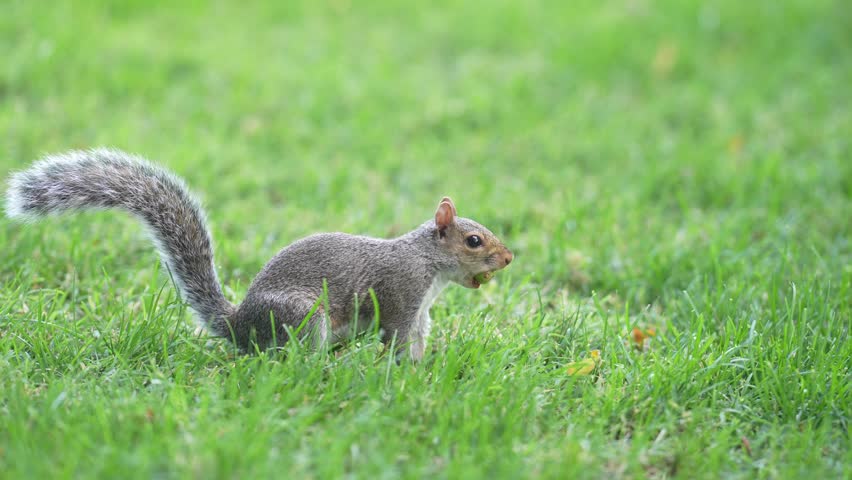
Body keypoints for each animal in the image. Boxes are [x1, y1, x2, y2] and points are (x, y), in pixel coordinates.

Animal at [4, 148, 513, 360]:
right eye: (474, 240)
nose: (508, 260)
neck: (428, 264)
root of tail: (240, 325)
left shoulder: (422, 308)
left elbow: (420, 338)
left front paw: (426, 369)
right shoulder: (403, 294)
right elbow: (399, 336)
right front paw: (403, 374)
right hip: (303, 316)